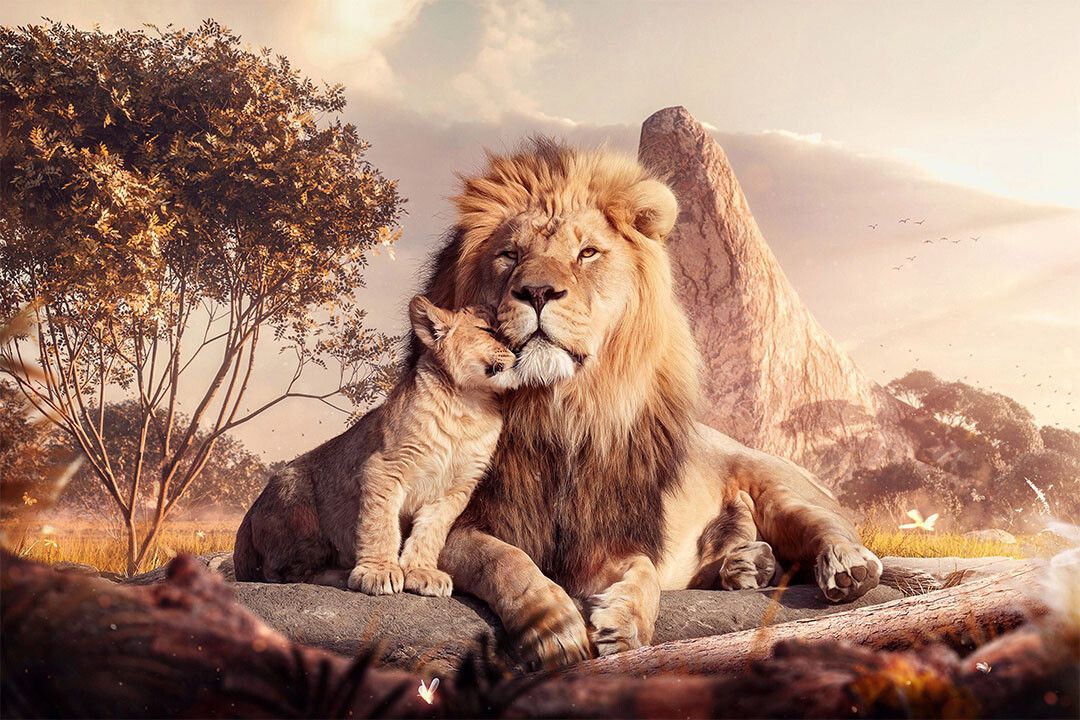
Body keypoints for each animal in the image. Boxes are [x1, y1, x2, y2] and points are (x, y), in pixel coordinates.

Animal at [233, 297, 517, 596]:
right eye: (489, 331)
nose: (518, 351)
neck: (468, 404)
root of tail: (248, 514)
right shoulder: (384, 467)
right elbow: (380, 525)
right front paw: (378, 571)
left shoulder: (456, 489)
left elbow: (431, 532)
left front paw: (422, 572)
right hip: (298, 500)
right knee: (282, 573)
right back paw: (341, 574)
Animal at [415, 139, 884, 669]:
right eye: (509, 254)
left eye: (587, 253)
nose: (536, 291)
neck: (558, 412)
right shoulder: (447, 522)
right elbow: (504, 558)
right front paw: (554, 626)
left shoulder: (609, 535)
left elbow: (642, 572)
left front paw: (626, 626)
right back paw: (747, 565)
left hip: (777, 485)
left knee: (826, 525)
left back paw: (846, 566)